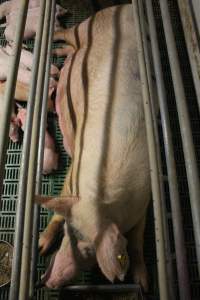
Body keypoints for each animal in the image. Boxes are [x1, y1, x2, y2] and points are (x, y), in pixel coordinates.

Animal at [36, 4, 151, 290]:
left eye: (89, 250)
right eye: (68, 234)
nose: (46, 283)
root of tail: (127, 6)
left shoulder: (145, 201)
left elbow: (137, 240)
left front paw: (143, 284)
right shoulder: (72, 171)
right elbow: (59, 206)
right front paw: (41, 246)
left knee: (72, 49)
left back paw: (59, 53)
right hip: (86, 26)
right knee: (68, 32)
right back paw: (55, 35)